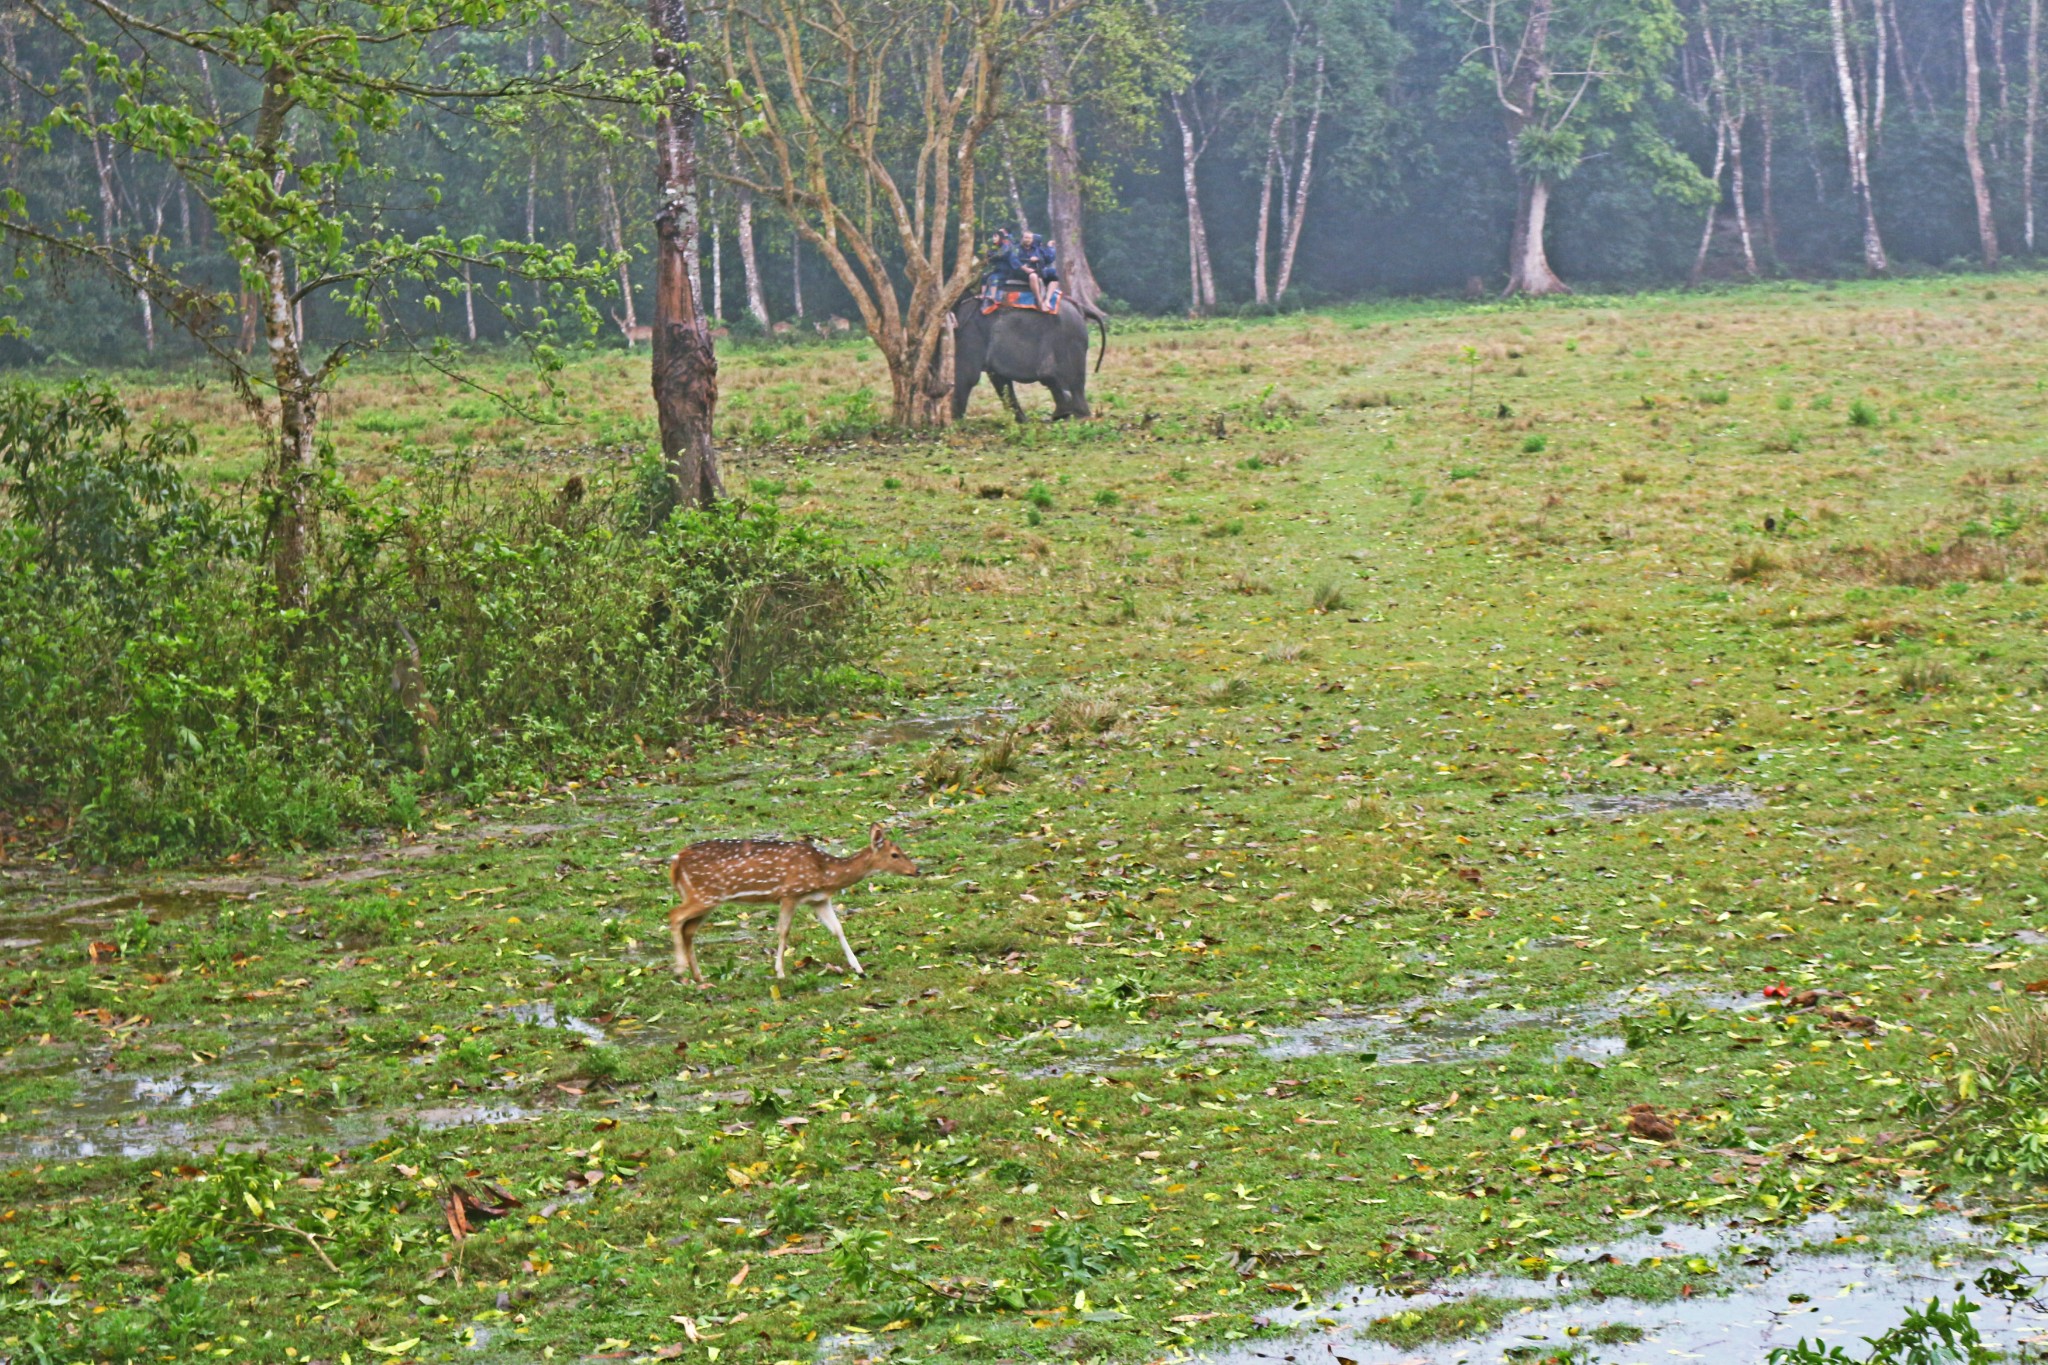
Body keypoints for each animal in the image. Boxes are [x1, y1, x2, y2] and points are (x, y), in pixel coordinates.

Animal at [663, 822, 921, 982]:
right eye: (895, 854)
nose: (916, 870)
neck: (825, 874)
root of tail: (675, 861)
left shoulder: (818, 900)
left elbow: (837, 929)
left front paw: (859, 969)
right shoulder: (789, 893)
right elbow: (783, 931)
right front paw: (779, 972)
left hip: (706, 898)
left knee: (688, 930)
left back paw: (699, 977)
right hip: (704, 894)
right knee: (674, 916)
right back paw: (680, 970)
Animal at [950, 296, 1114, 423]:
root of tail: (1080, 306)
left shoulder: (969, 332)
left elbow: (967, 376)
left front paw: (956, 422)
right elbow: (999, 379)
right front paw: (1023, 421)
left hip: (1070, 334)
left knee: (1062, 376)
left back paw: (1076, 417)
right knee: (1053, 378)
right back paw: (1063, 416)